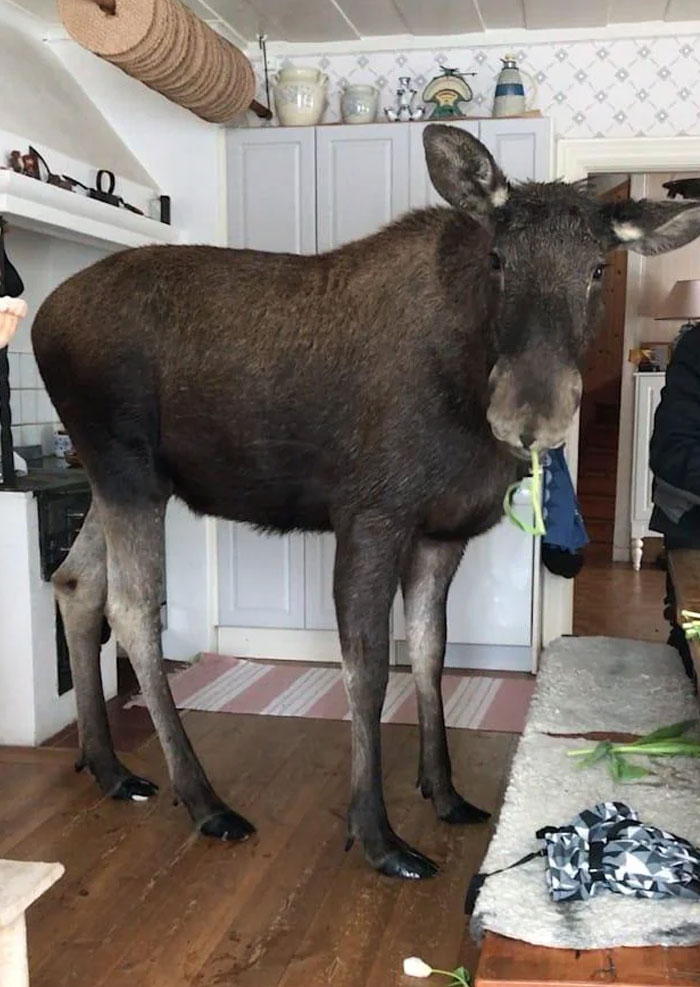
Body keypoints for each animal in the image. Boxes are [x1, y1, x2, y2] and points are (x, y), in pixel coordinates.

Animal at [32, 125, 700, 879]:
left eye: (597, 269)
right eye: (498, 258)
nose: (529, 413)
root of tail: (40, 322)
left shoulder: (442, 533)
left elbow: (433, 653)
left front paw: (444, 791)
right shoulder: (372, 515)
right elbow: (370, 668)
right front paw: (378, 833)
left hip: (115, 478)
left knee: (75, 580)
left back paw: (110, 767)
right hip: (129, 469)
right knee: (132, 607)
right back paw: (203, 799)